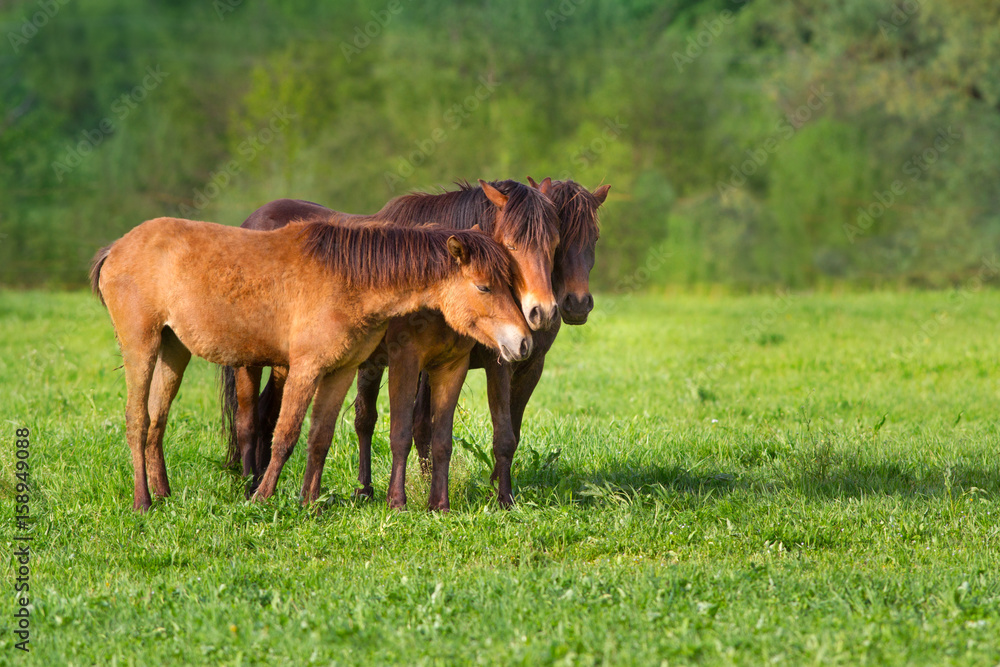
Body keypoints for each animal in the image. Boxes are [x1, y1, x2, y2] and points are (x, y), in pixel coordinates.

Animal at [91, 217, 532, 511]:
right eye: (484, 286)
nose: (523, 341)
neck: (350, 279)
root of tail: (116, 247)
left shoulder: (340, 371)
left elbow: (320, 437)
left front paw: (309, 501)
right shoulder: (306, 369)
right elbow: (286, 435)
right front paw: (263, 498)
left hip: (173, 351)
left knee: (157, 421)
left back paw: (164, 493)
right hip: (142, 347)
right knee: (137, 420)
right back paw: (143, 501)